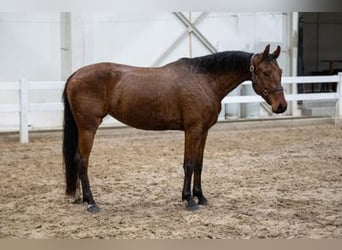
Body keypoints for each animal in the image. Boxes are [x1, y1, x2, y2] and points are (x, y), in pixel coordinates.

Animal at [62, 45, 288, 213]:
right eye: (266, 72)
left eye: (281, 72)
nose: (282, 106)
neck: (204, 79)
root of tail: (74, 75)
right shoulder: (192, 130)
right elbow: (188, 164)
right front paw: (189, 200)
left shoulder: (203, 131)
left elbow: (199, 164)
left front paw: (201, 197)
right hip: (88, 128)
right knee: (82, 161)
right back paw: (91, 202)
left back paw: (82, 199)